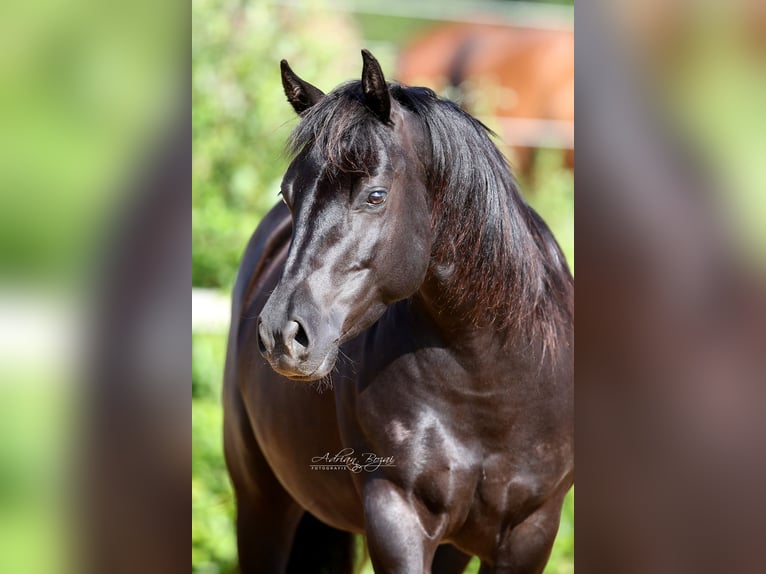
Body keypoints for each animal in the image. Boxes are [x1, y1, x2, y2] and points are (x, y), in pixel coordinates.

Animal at [223, 49, 573, 573]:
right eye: (287, 194)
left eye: (375, 196)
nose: (282, 335)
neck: (490, 383)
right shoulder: (396, 517)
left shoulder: (531, 532)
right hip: (261, 503)